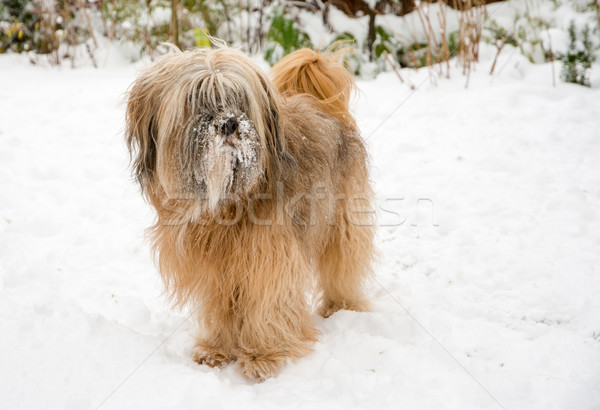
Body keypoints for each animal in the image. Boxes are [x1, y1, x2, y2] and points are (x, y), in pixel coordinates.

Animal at [126, 42, 376, 382]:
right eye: (195, 98)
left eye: (238, 98)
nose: (230, 123)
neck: (225, 205)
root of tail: (326, 106)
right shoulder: (214, 269)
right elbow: (220, 309)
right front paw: (217, 350)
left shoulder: (269, 260)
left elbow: (266, 306)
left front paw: (263, 357)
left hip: (342, 220)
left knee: (343, 267)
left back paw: (341, 308)